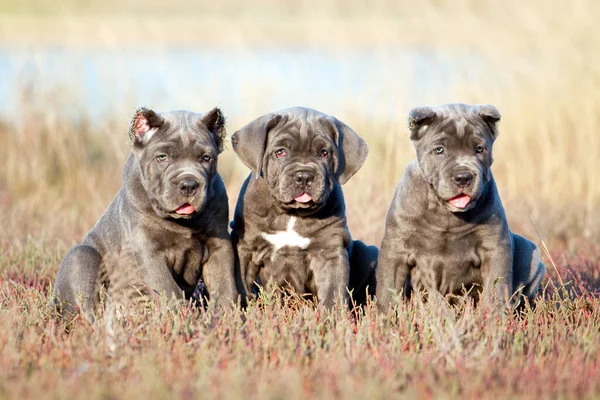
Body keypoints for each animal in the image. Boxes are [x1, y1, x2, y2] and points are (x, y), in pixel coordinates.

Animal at [52, 107, 238, 322]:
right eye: (162, 157)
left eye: (206, 158)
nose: (189, 184)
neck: (183, 222)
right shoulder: (149, 249)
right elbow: (168, 288)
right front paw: (182, 318)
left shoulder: (218, 244)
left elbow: (224, 284)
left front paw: (227, 317)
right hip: (82, 256)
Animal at [231, 107, 378, 310]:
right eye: (280, 152)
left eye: (324, 153)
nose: (304, 176)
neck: (292, 213)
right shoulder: (246, 249)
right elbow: (242, 286)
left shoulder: (330, 252)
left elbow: (333, 293)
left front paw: (332, 317)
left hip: (368, 251)